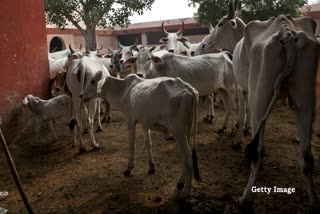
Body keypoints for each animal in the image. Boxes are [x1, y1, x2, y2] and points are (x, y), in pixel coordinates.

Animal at [232, 14, 320, 211]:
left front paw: (238, 139)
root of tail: (286, 32)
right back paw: (313, 202)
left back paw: (246, 198)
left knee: (257, 151)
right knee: (307, 157)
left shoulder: (243, 89)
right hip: (305, 96)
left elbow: (242, 114)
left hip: (260, 94)